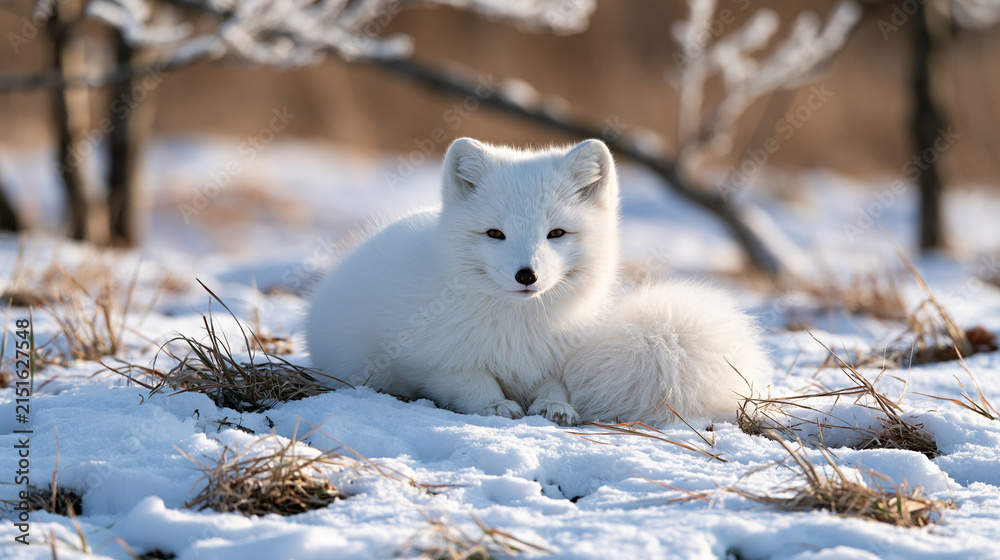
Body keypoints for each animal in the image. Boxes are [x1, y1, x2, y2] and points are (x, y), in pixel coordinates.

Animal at [306, 137, 769, 426]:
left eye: (556, 233)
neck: (520, 324)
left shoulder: (558, 357)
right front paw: (496, 405)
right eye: (495, 233)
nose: (525, 274)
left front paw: (553, 406)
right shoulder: (427, 362)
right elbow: (471, 380)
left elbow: (553, 383)